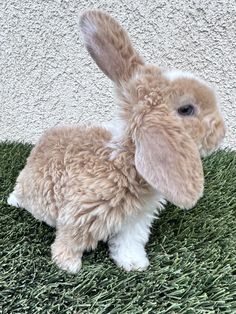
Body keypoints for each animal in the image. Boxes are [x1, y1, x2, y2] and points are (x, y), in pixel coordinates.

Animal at [6, 10, 225, 272]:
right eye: (186, 109)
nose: (221, 131)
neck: (124, 159)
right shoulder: (80, 214)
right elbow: (69, 241)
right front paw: (68, 265)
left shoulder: (134, 222)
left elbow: (128, 244)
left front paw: (134, 264)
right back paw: (13, 201)